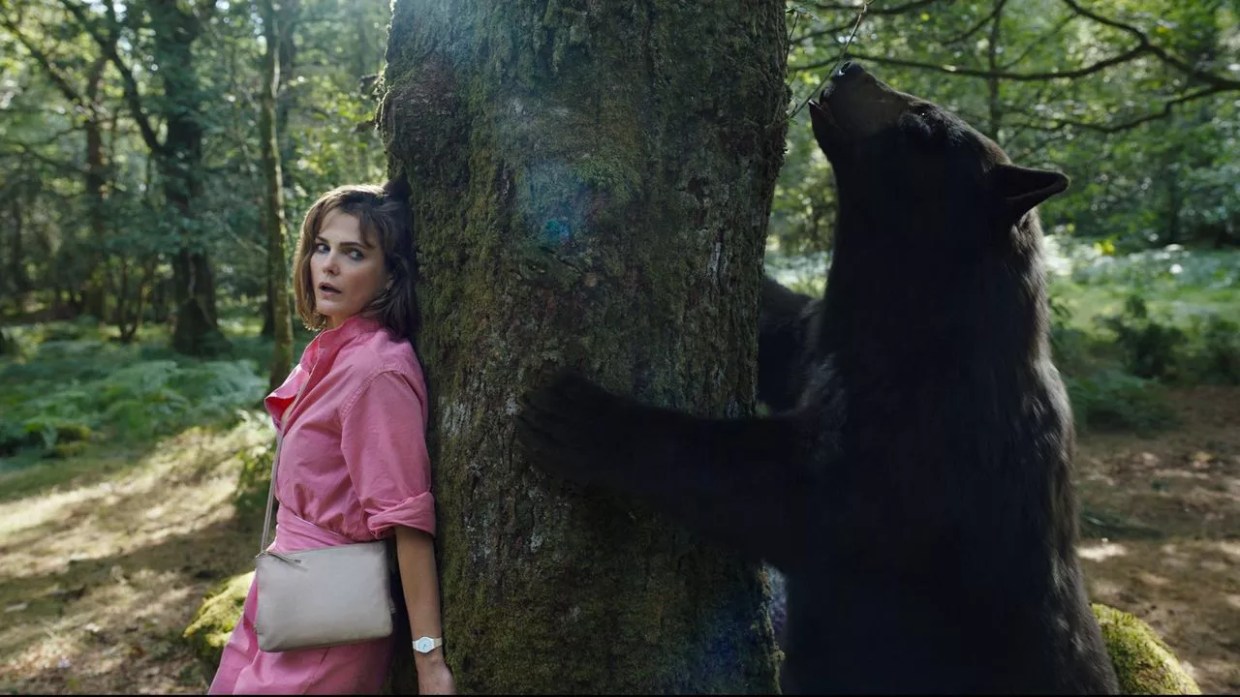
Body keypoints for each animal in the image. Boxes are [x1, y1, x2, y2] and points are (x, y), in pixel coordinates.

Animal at [515, 61, 1120, 694]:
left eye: (923, 123)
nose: (851, 67)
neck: (913, 322)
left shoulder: (930, 442)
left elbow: (787, 495)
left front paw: (583, 419)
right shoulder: (822, 343)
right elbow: (780, 330)